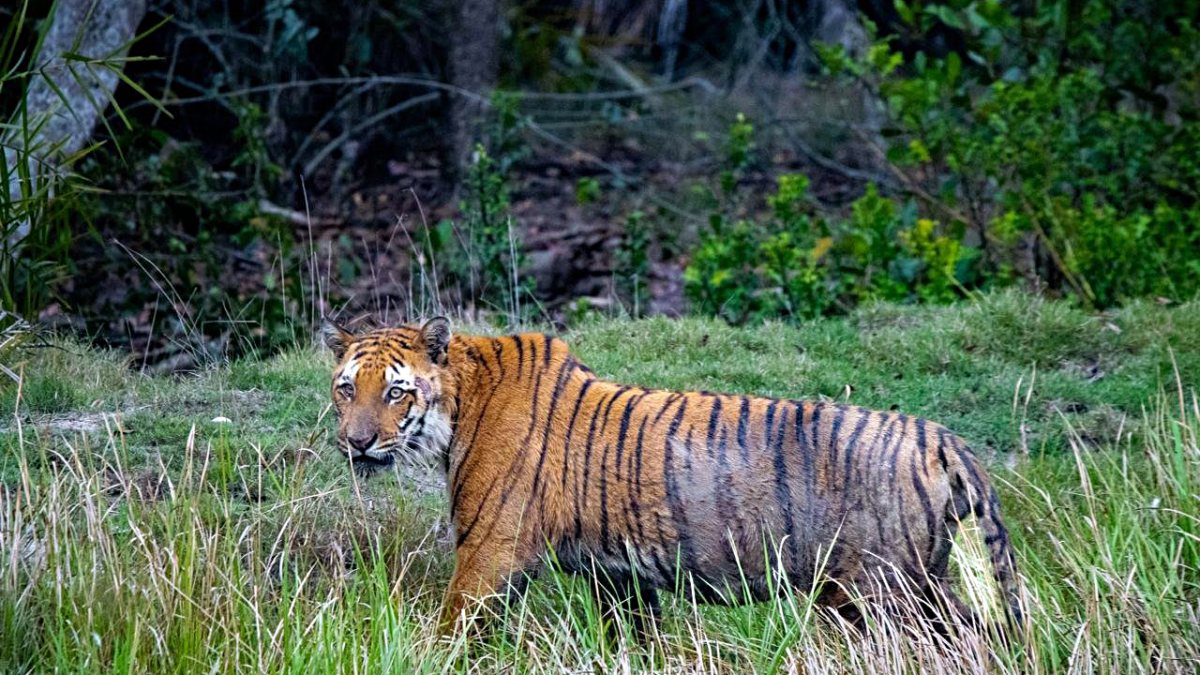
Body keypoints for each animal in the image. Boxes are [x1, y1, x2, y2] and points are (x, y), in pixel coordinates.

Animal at [322, 317, 1022, 638]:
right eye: (346, 388)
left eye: (394, 392)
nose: (357, 442)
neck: (459, 407)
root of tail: (942, 438)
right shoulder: (618, 574)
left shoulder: (488, 552)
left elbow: (452, 633)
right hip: (910, 585)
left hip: (885, 592)